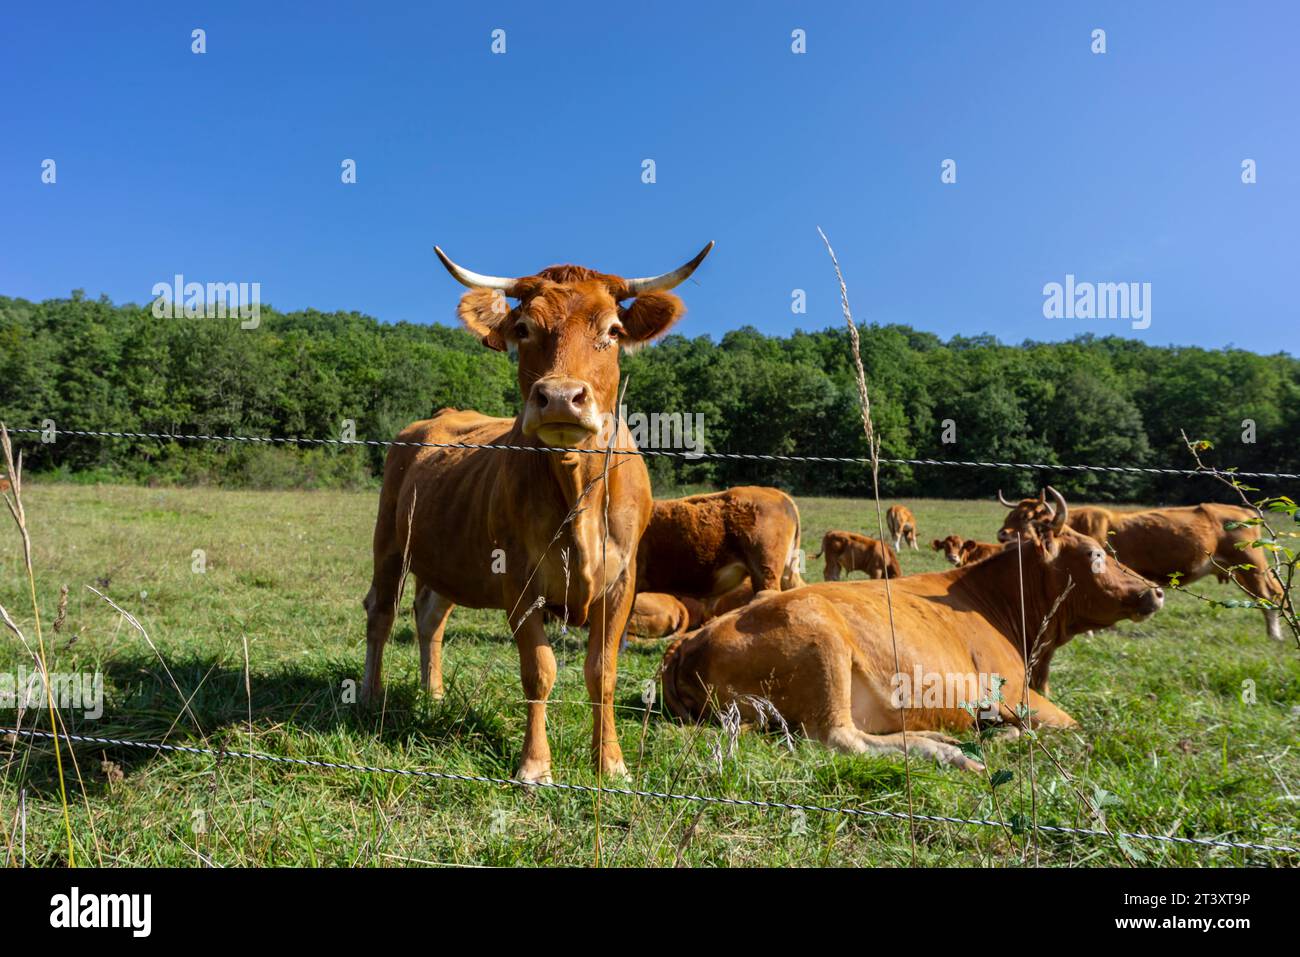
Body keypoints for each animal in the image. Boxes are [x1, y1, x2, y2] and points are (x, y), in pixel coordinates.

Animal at [364, 240, 712, 785]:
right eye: (525, 328)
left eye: (613, 331)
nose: (561, 398)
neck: (578, 490)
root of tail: (438, 417)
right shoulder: (518, 578)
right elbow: (539, 669)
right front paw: (534, 765)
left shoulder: (623, 581)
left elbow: (603, 672)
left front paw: (611, 762)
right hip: (389, 542)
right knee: (380, 612)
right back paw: (369, 696)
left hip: (444, 557)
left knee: (429, 616)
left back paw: (433, 695)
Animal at [660, 494, 1170, 769]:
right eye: (1096, 555)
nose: (1155, 591)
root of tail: (688, 642)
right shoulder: (1015, 695)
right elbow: (1066, 727)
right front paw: (997, 737)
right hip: (823, 646)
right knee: (839, 738)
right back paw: (946, 752)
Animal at [998, 488, 1284, 639]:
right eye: (1011, 514)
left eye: (1028, 517)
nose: (1002, 534)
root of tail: (1244, 511)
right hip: (1243, 571)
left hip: (1252, 566)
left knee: (1268, 595)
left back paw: (1275, 635)